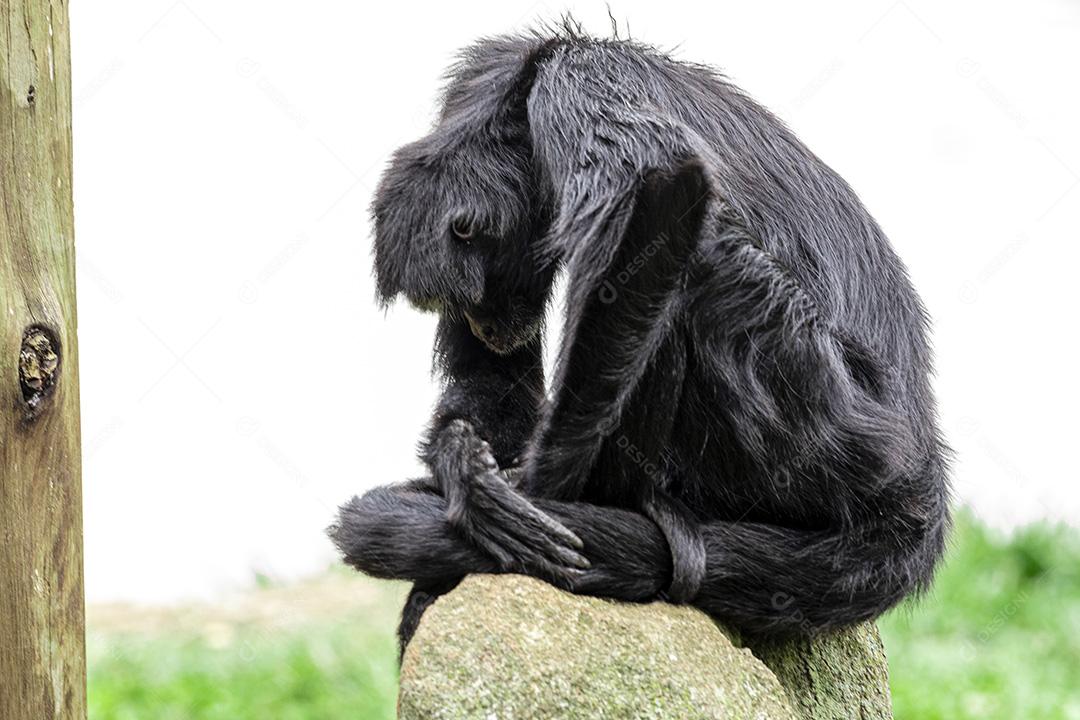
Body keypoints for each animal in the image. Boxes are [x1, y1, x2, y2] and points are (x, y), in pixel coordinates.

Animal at [329, 21, 951, 656]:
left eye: (469, 301)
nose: (484, 327)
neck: (516, 92)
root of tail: (920, 476)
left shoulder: (577, 85)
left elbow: (656, 193)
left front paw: (534, 492)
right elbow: (491, 380)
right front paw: (463, 471)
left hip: (828, 429)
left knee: (700, 246)